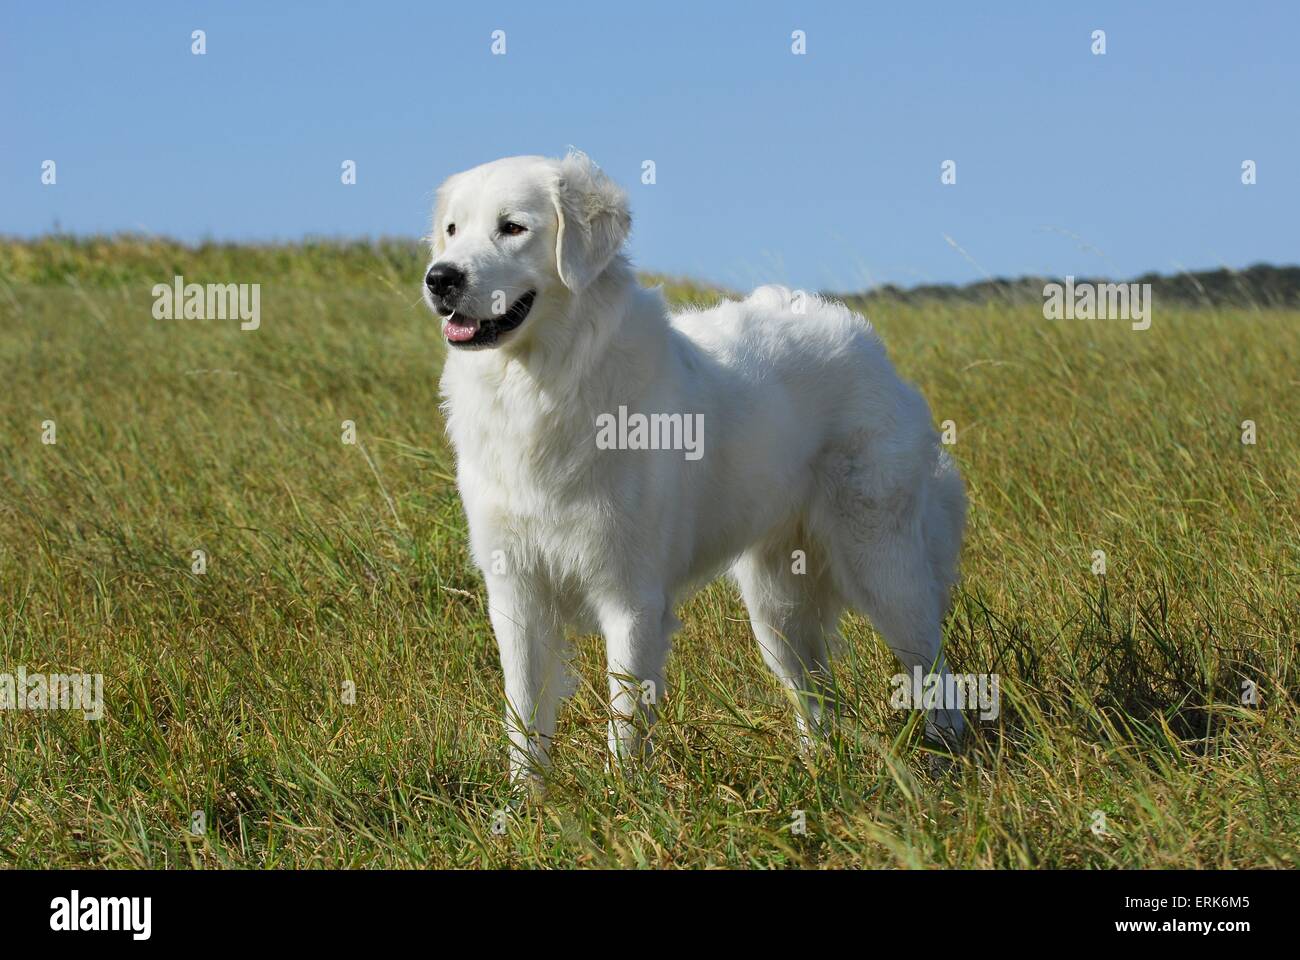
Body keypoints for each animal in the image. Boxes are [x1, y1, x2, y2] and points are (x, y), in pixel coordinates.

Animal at [426, 147, 967, 780]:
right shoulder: (516, 594)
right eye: (452, 230)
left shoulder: (631, 595)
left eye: (512, 227)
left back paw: (950, 758)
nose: (440, 277)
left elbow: (624, 719)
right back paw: (819, 772)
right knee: (817, 699)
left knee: (932, 667)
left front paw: (622, 800)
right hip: (777, 611)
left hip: (884, 569)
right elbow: (523, 720)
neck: (542, 386)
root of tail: (861, 339)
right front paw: (524, 806)